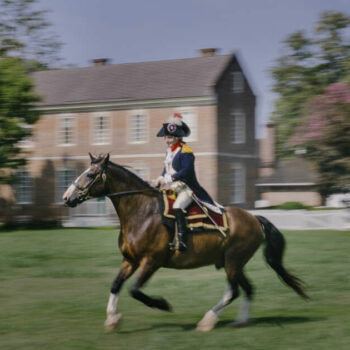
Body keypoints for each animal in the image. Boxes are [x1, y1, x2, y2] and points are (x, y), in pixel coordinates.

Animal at [63, 152, 308, 330]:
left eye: (91, 174)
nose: (67, 198)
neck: (142, 212)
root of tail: (254, 218)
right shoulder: (130, 261)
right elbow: (115, 285)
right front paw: (112, 319)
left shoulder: (151, 261)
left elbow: (135, 290)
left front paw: (162, 304)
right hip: (234, 263)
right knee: (246, 289)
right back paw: (239, 321)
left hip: (233, 262)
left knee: (234, 291)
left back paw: (208, 320)